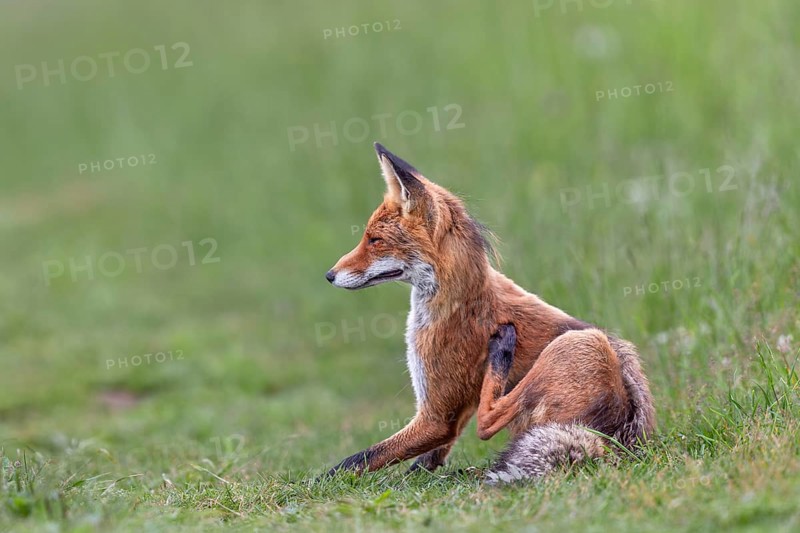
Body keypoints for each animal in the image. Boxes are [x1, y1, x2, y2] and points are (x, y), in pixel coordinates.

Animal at [324, 142, 655, 482]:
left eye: (374, 240)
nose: (329, 275)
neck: (460, 303)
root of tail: (616, 446)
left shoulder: (436, 416)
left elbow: (355, 460)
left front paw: (315, 484)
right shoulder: (454, 409)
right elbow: (427, 459)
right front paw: (417, 477)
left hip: (582, 342)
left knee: (488, 422)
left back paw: (502, 349)